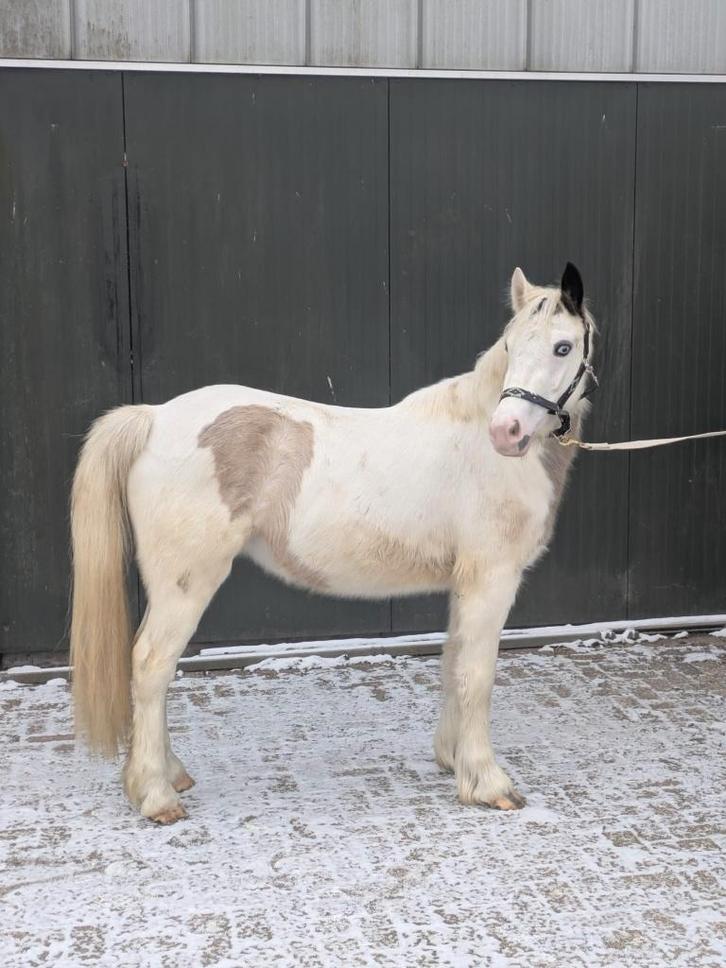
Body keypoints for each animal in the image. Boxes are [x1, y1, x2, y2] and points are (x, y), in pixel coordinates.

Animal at [70, 263, 596, 824]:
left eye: (562, 347)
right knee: (151, 665)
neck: (478, 440)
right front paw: (488, 782)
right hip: (186, 584)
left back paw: (169, 775)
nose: (507, 431)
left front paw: (453, 760)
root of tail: (153, 417)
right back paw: (156, 795)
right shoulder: (491, 580)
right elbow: (477, 675)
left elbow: (454, 662)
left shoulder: (464, 583)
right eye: (512, 344)